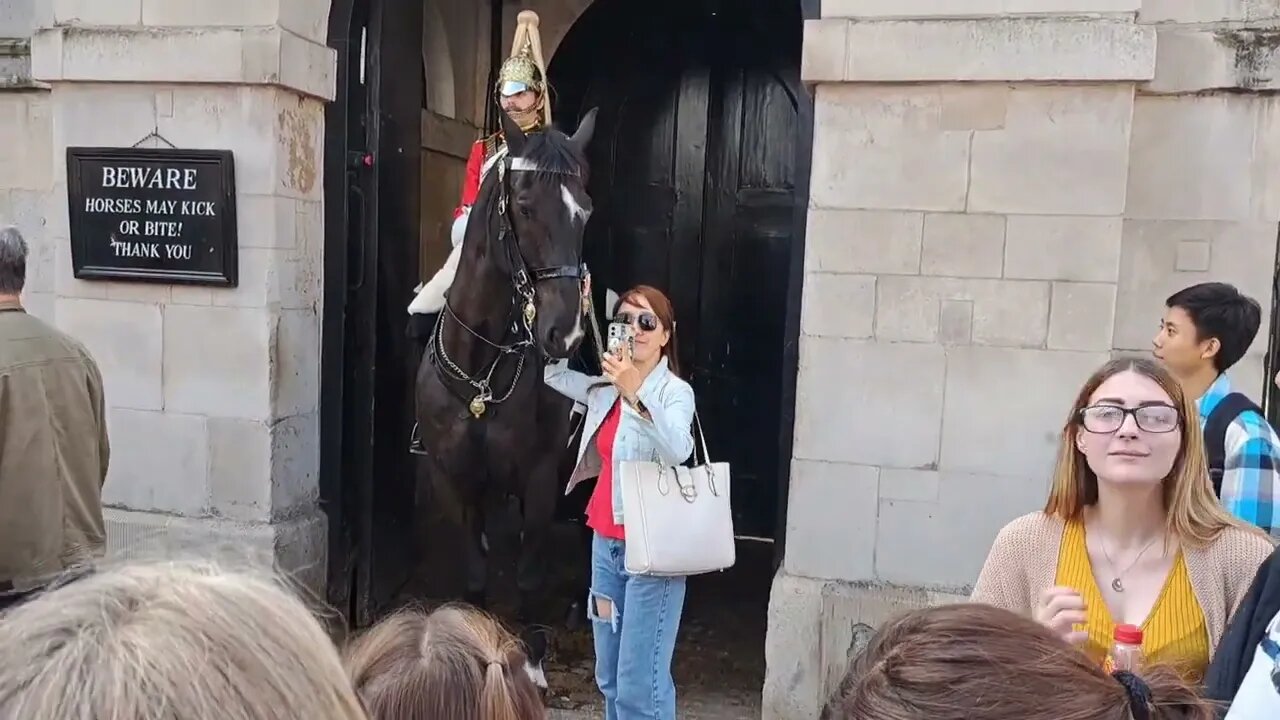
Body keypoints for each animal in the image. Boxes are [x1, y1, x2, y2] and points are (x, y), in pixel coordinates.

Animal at [417, 106, 601, 622]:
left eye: (586, 210)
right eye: (524, 204)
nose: (565, 333)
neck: (481, 370)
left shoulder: (539, 479)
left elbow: (528, 579)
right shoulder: (452, 479)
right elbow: (476, 577)